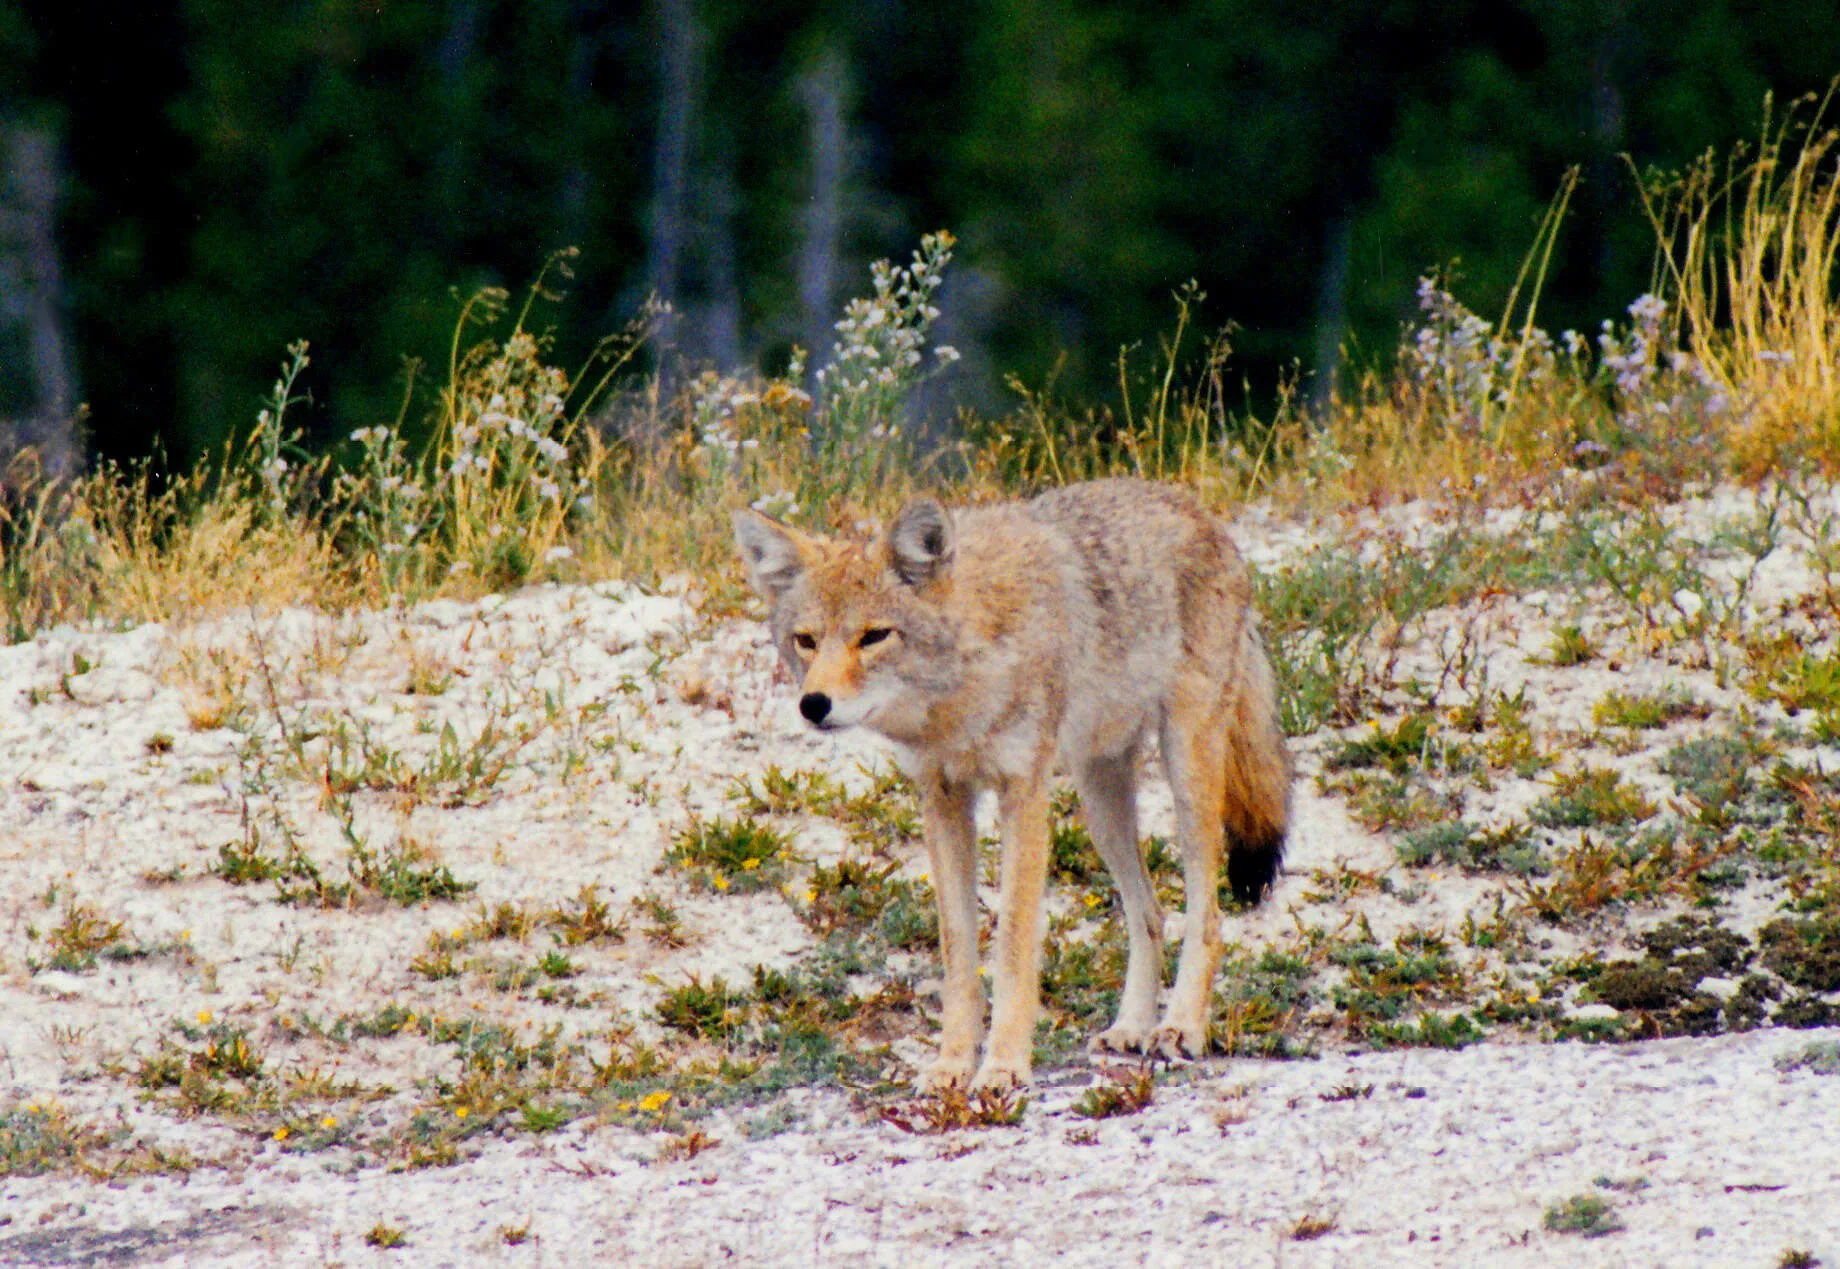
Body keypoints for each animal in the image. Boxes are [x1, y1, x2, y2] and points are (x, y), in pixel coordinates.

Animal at [732, 477, 1291, 1092]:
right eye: (806, 641)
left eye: (874, 636)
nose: (813, 704)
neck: (962, 690)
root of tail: (1204, 514)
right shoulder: (942, 800)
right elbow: (957, 954)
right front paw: (952, 1065)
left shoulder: (1023, 793)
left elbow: (1014, 946)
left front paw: (1002, 1067)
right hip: (1102, 807)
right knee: (1150, 915)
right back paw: (1131, 1027)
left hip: (1187, 776)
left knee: (1205, 916)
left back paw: (1181, 1028)